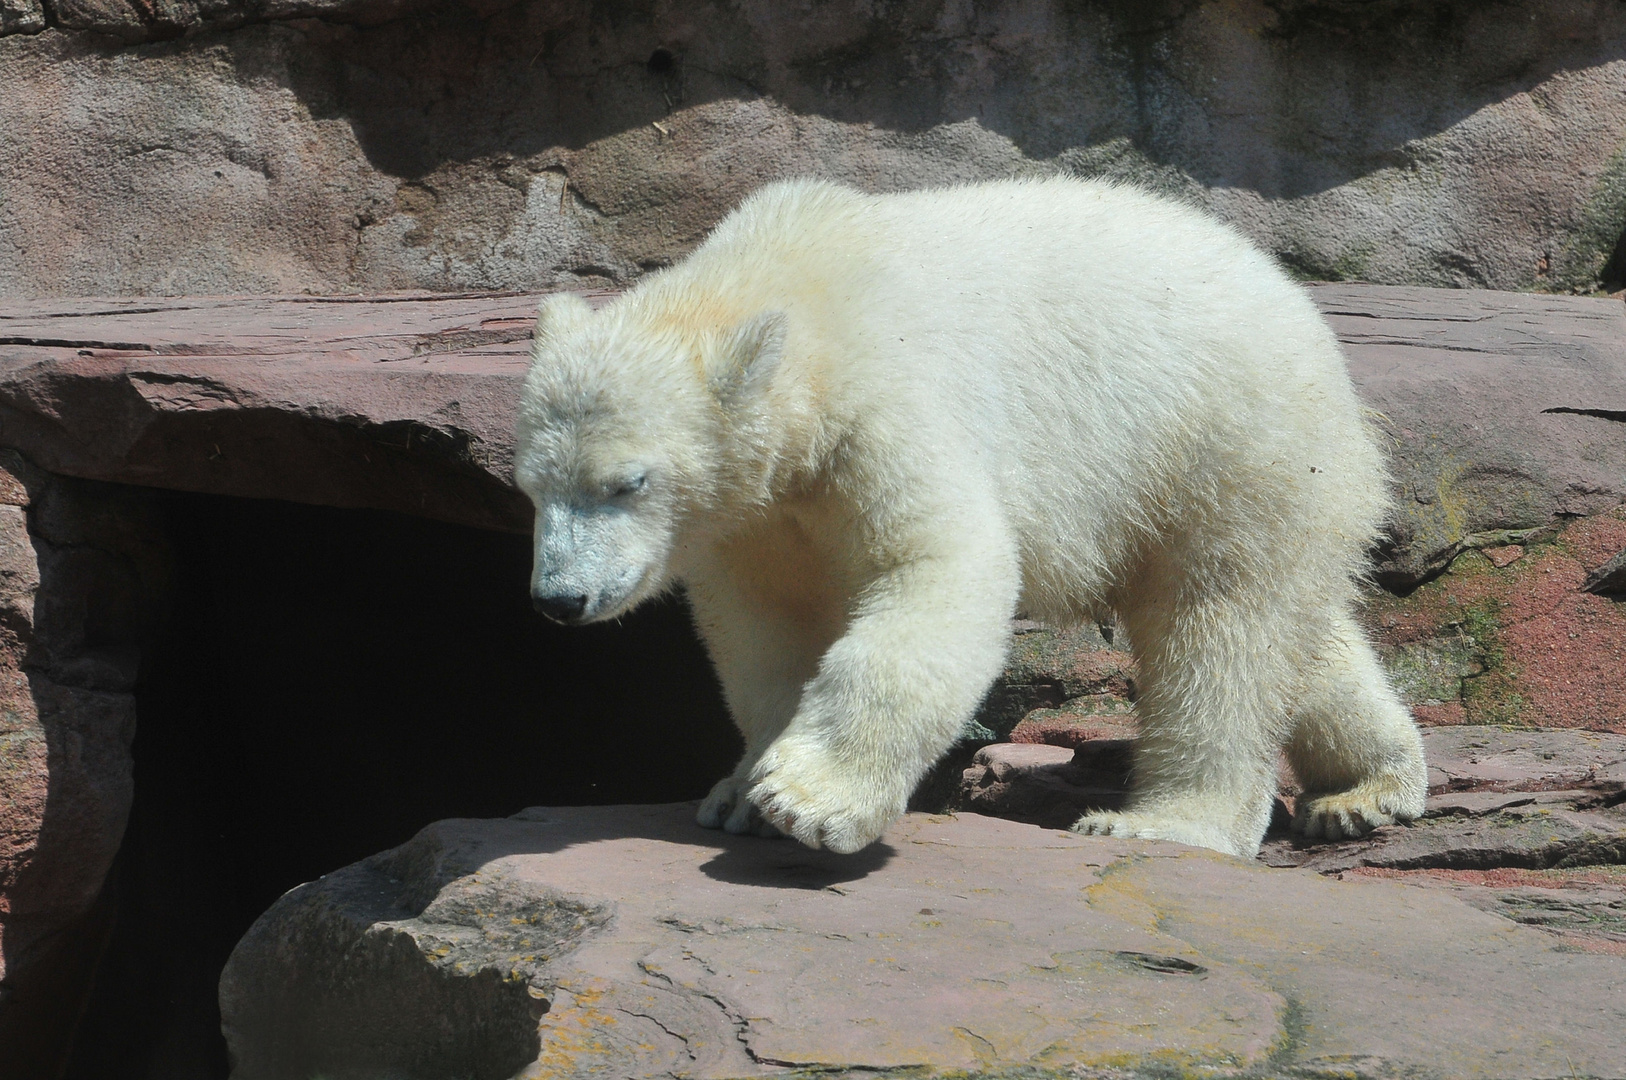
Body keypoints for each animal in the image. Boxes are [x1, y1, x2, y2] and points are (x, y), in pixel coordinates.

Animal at [513, 177, 1430, 858]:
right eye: (531, 488)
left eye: (627, 482)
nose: (559, 599)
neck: (795, 283)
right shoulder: (756, 512)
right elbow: (762, 630)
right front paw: (739, 792)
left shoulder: (886, 406)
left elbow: (940, 567)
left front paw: (809, 799)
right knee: (1297, 629)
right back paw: (1366, 788)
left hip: (1225, 442)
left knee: (1220, 629)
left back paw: (1163, 821)